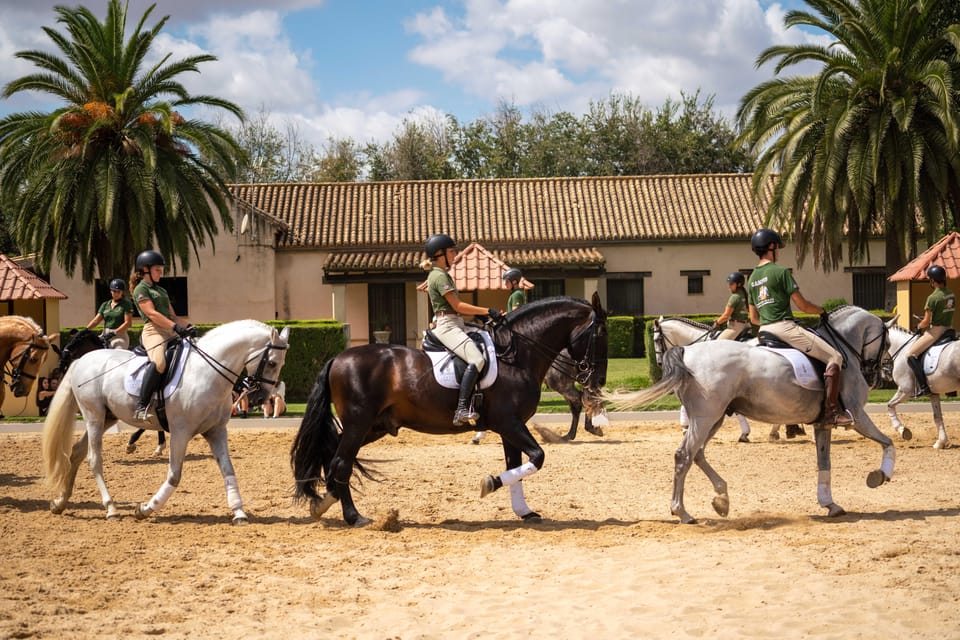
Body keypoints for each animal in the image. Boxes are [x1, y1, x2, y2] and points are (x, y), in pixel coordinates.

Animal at [42, 320, 290, 523]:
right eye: (271, 363)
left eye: (279, 364)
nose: (260, 398)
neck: (206, 372)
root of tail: (81, 360)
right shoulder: (181, 432)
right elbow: (174, 475)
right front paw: (146, 509)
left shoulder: (216, 431)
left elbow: (228, 470)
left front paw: (239, 512)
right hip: (93, 415)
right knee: (94, 459)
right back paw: (110, 508)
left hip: (107, 418)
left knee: (76, 453)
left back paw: (60, 503)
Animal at [291, 294, 608, 527]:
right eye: (600, 334)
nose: (597, 380)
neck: (517, 355)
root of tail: (338, 358)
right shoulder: (509, 423)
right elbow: (537, 458)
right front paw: (489, 483)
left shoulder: (511, 428)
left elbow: (517, 465)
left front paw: (524, 511)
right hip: (359, 423)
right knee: (341, 462)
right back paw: (353, 517)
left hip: (373, 426)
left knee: (334, 456)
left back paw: (323, 503)